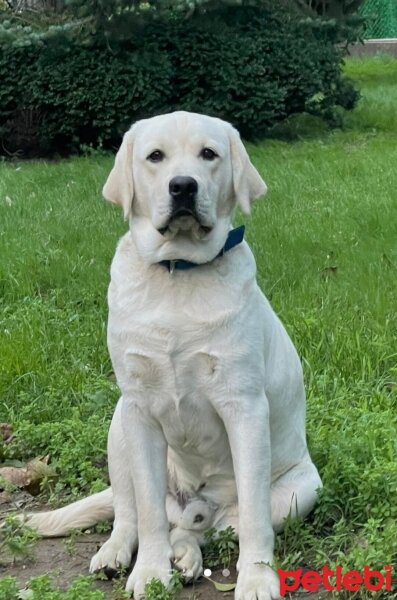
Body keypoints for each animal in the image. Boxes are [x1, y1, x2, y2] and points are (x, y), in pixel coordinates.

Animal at [24, 110, 322, 596]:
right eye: (155, 157)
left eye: (209, 154)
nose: (183, 186)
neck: (177, 272)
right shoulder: (140, 410)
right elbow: (146, 512)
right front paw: (149, 573)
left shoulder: (244, 408)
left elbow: (255, 515)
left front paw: (257, 578)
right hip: (118, 425)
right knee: (131, 513)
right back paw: (118, 554)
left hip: (302, 490)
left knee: (206, 527)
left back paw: (186, 555)